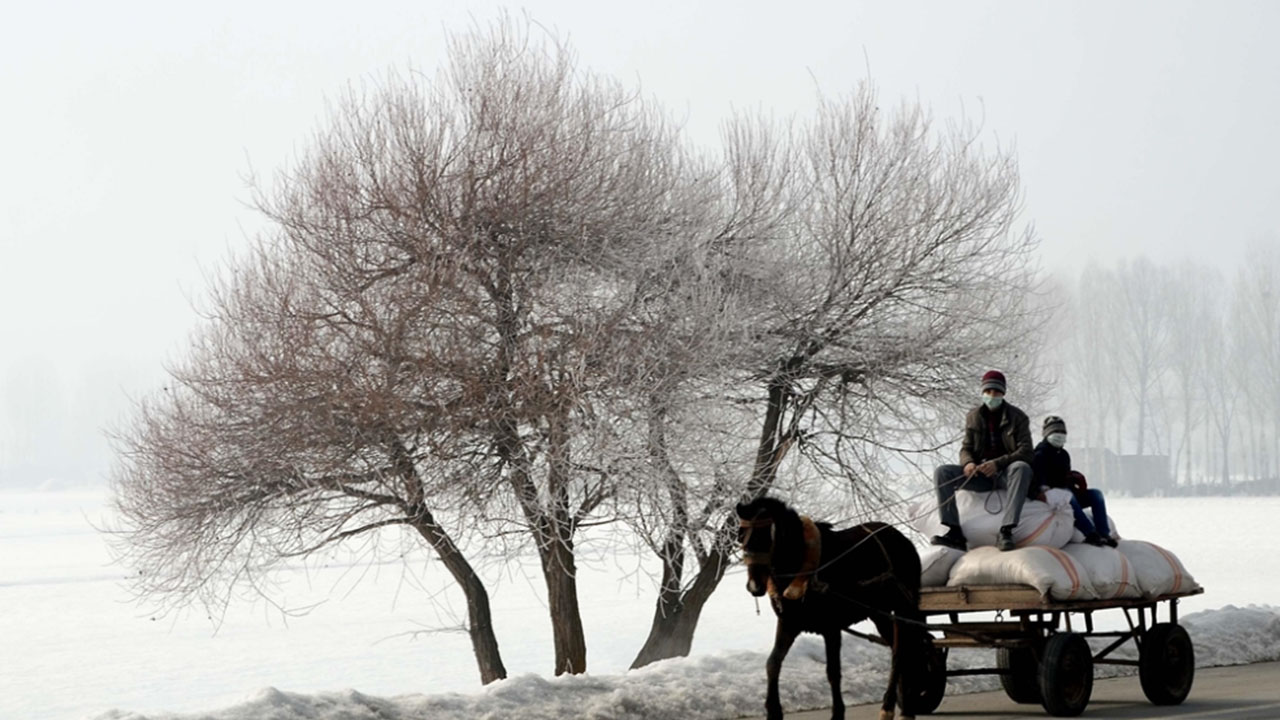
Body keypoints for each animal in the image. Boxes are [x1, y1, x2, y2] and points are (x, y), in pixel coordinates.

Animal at [737, 497, 926, 712]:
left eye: (764, 536)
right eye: (740, 536)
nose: (754, 586)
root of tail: (902, 539)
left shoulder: (831, 628)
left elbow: (833, 672)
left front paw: (838, 711)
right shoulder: (789, 623)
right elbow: (773, 663)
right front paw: (773, 708)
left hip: (904, 608)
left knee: (903, 651)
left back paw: (891, 704)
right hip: (881, 614)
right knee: (899, 649)